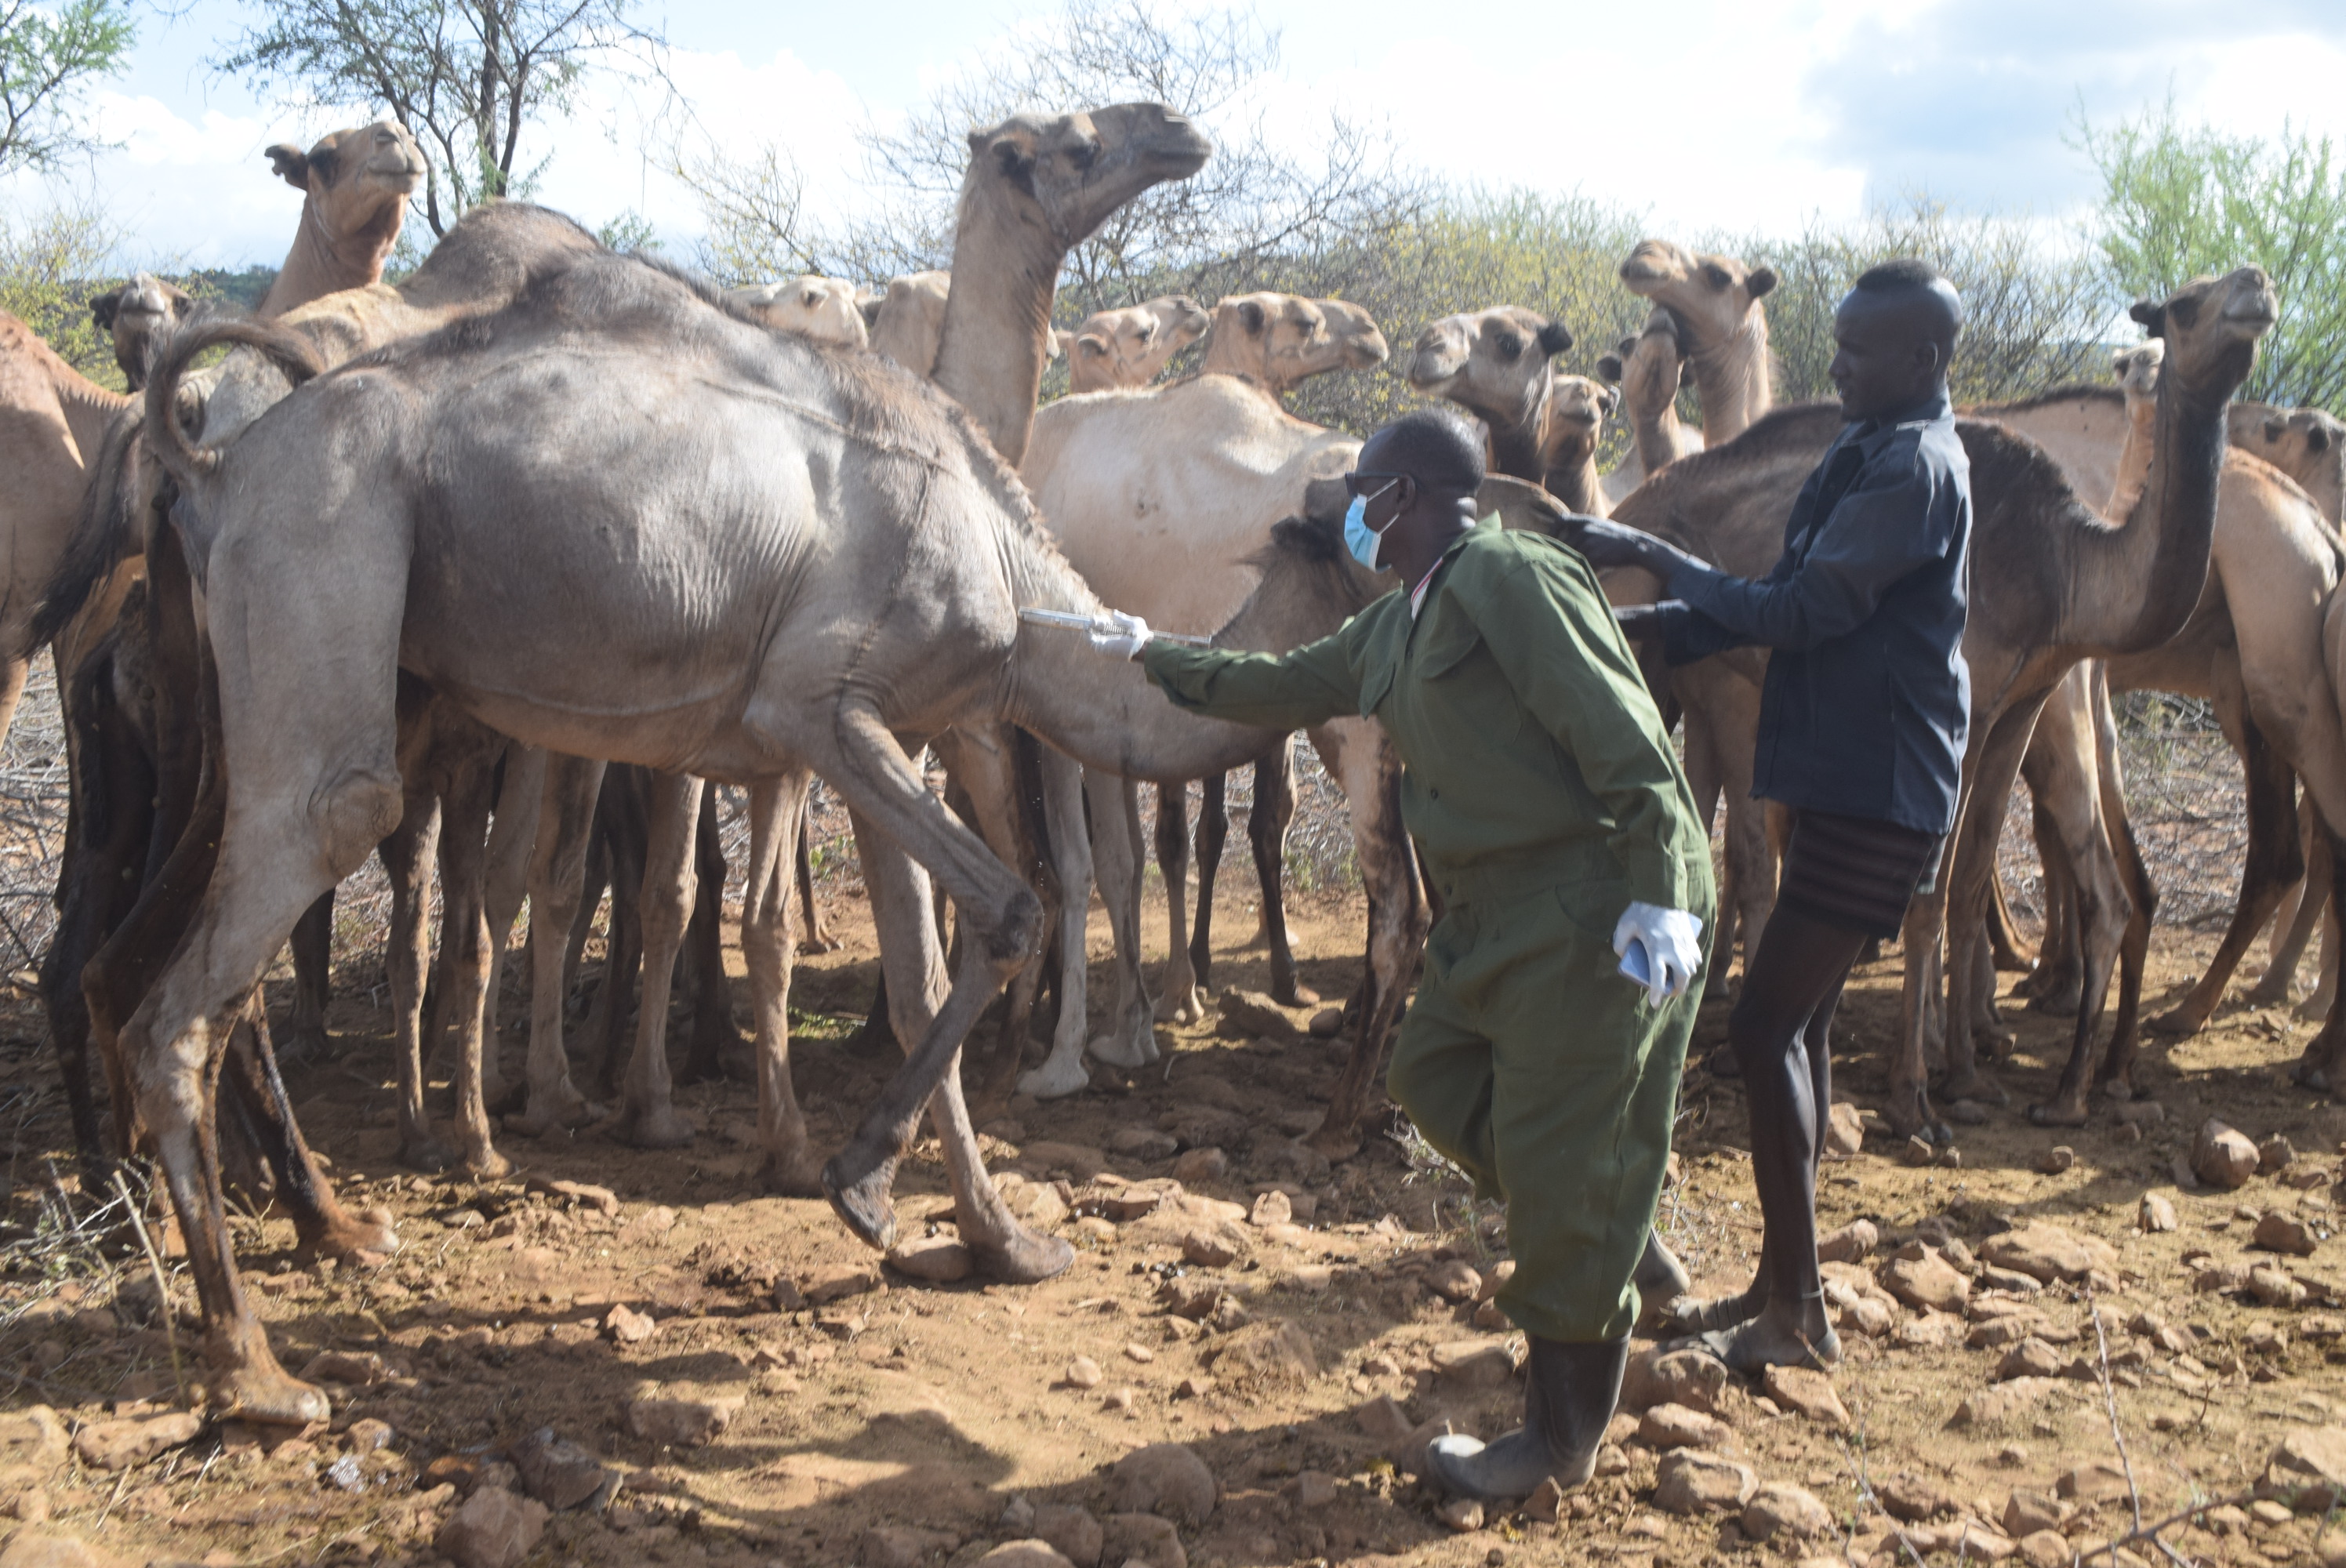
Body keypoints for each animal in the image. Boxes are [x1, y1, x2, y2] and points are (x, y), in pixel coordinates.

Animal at [1603, 268, 2274, 1136]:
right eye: (2186, 306)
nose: (2255, 287)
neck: (2065, 563)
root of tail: (1629, 501)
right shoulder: (1959, 712)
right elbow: (1925, 899)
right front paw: (1912, 1091)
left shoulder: (2016, 705)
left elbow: (1967, 886)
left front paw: (1965, 1074)